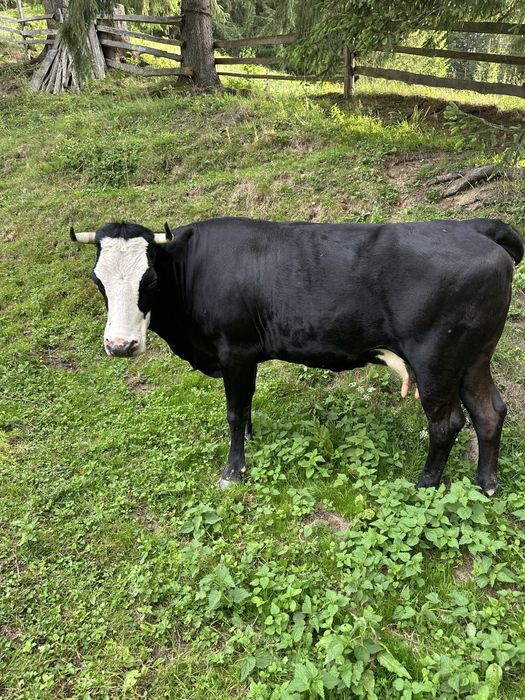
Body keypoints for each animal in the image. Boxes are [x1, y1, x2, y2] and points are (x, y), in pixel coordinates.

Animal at [70, 217, 523, 495]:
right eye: (98, 280)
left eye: (149, 279)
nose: (120, 345)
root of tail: (474, 227)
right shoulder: (245, 357)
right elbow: (246, 405)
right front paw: (250, 438)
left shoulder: (234, 351)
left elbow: (233, 411)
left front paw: (232, 471)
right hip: (473, 358)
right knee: (490, 412)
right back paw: (486, 482)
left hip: (436, 361)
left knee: (447, 423)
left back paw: (425, 484)